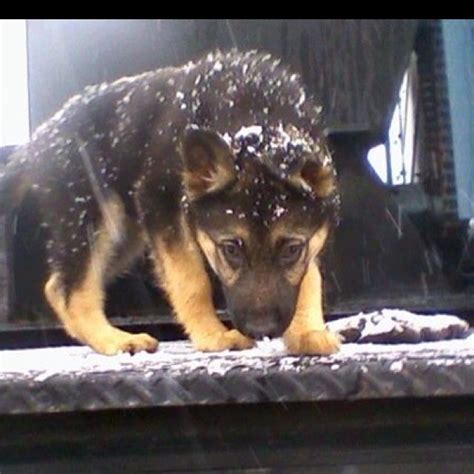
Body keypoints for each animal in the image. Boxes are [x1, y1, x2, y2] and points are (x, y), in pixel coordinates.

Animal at [0, 51, 340, 356]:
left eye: (292, 250)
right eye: (230, 249)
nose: (262, 330)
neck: (256, 116)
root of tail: (39, 139)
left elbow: (309, 280)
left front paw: (307, 331)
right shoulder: (161, 206)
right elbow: (191, 279)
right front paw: (212, 336)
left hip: (124, 236)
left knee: (58, 286)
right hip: (97, 213)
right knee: (72, 291)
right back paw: (116, 341)